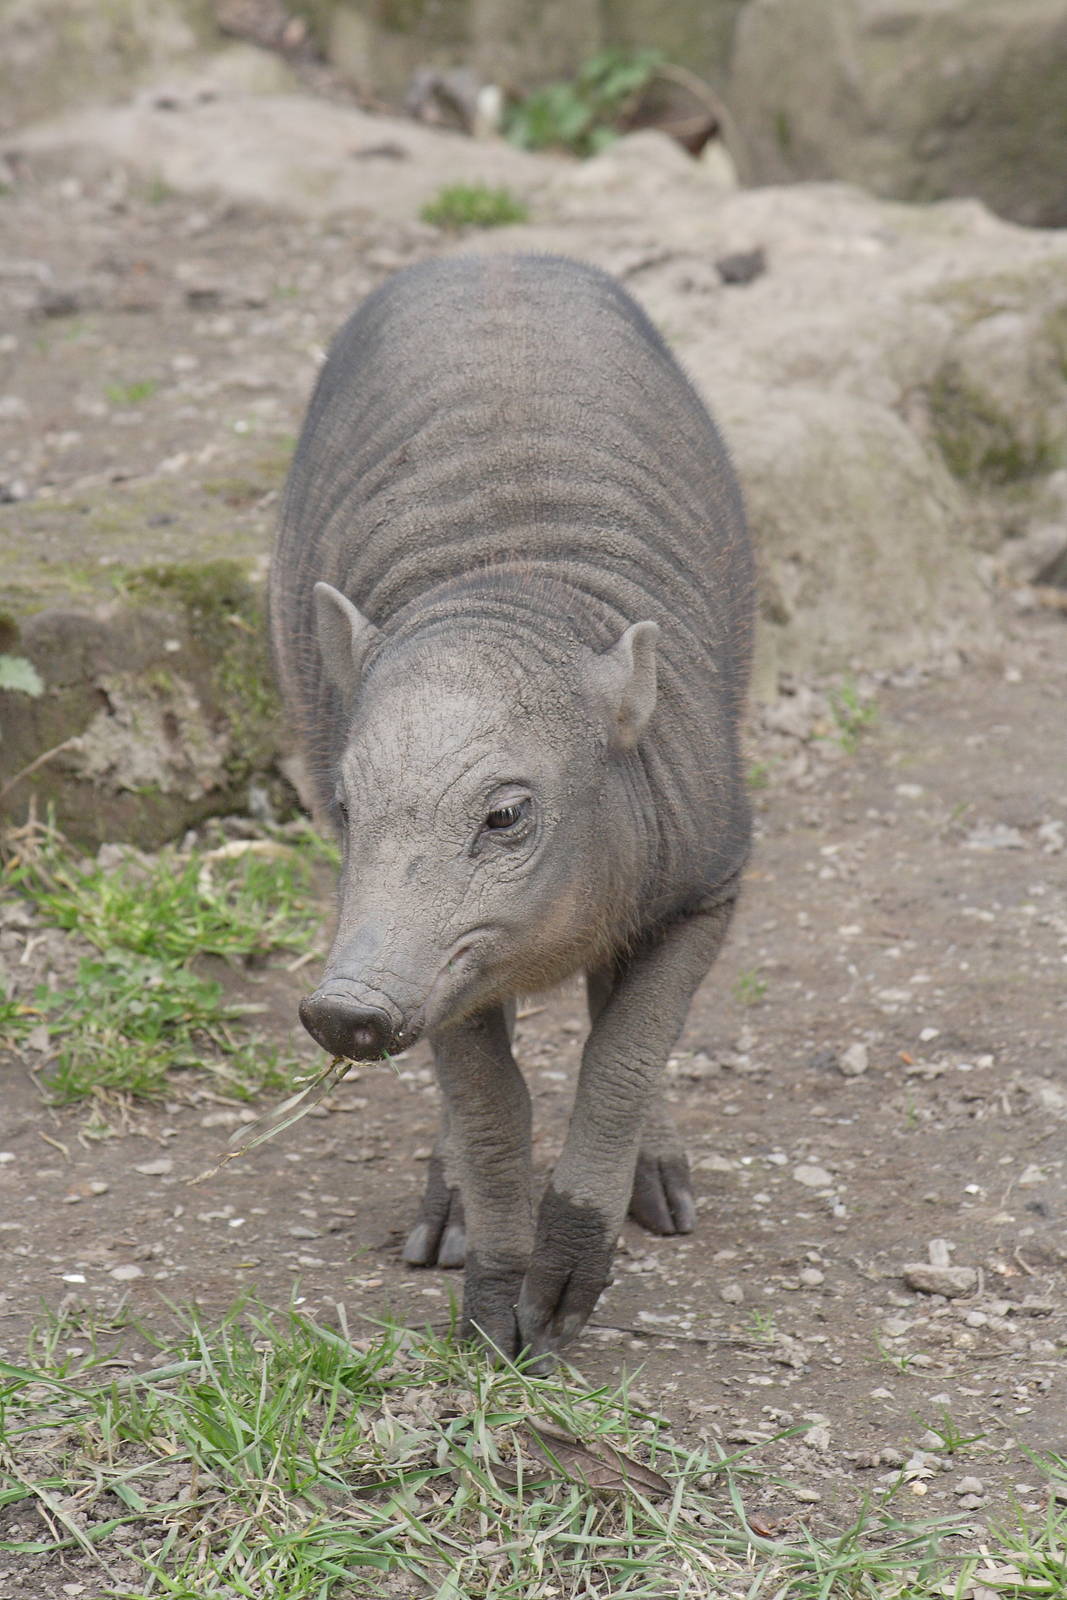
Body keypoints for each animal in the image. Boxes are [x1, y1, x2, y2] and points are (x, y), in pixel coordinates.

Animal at [269, 253, 753, 1361]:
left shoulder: (711, 878)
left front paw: (562, 1306)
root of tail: (487, 254)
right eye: (348, 808)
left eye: (504, 816)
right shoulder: (440, 963)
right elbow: (490, 1101)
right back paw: (438, 1228)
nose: (342, 1009)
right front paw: (495, 1322)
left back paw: (664, 1200)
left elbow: (621, 1055)